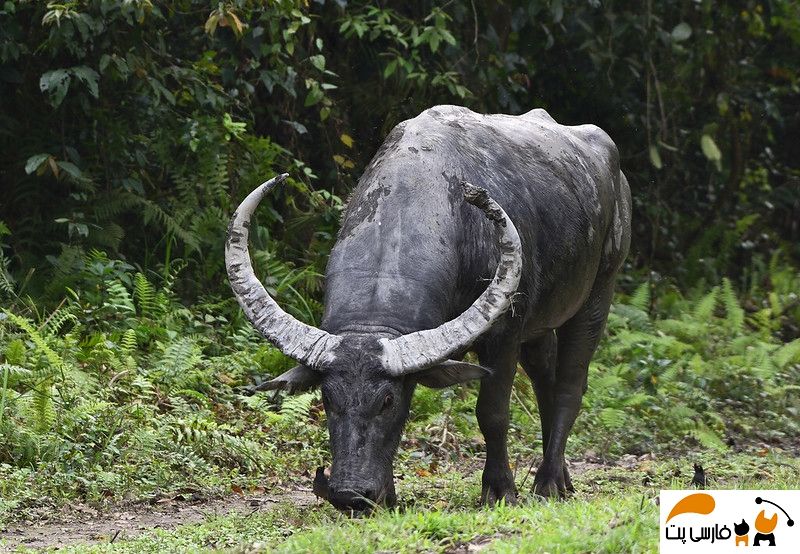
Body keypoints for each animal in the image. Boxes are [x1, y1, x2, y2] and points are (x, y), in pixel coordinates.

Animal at [225, 103, 632, 508]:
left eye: (387, 400)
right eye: (327, 398)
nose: (351, 494)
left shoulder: (504, 334)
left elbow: (493, 413)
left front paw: (499, 489)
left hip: (598, 292)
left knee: (569, 385)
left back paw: (547, 483)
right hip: (540, 325)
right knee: (545, 380)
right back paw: (562, 479)